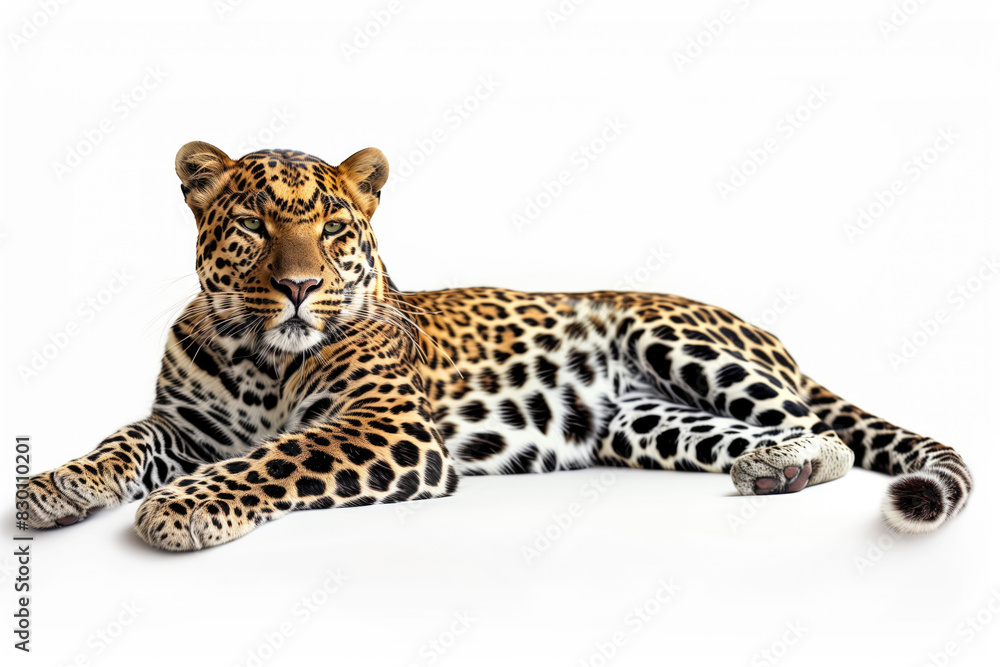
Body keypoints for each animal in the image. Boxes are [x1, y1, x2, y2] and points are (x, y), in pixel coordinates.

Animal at [19, 142, 972, 551]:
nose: (296, 286)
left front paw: (182, 507)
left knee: (828, 429)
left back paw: (791, 459)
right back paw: (771, 469)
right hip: (646, 424)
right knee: (778, 436)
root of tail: (772, 333)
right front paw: (54, 486)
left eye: (333, 230)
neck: (263, 357)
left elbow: (275, 456)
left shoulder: (388, 428)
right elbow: (120, 442)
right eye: (253, 224)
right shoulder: (186, 426)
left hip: (677, 338)